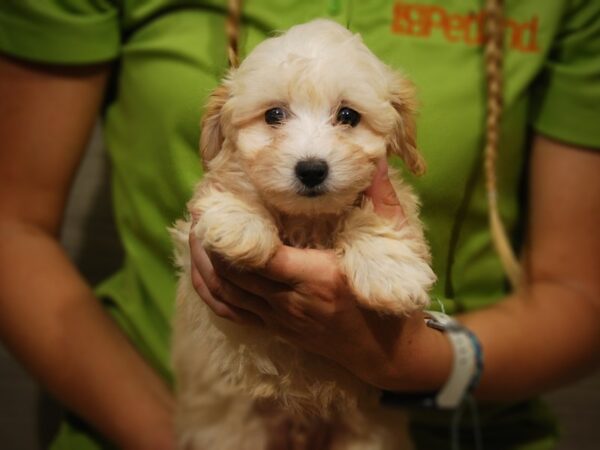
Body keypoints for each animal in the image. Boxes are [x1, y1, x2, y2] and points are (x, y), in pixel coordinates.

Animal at [171, 18, 434, 450]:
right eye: (274, 114)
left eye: (348, 116)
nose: (311, 169)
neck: (308, 221)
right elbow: (233, 182)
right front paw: (240, 221)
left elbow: (371, 218)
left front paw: (387, 271)